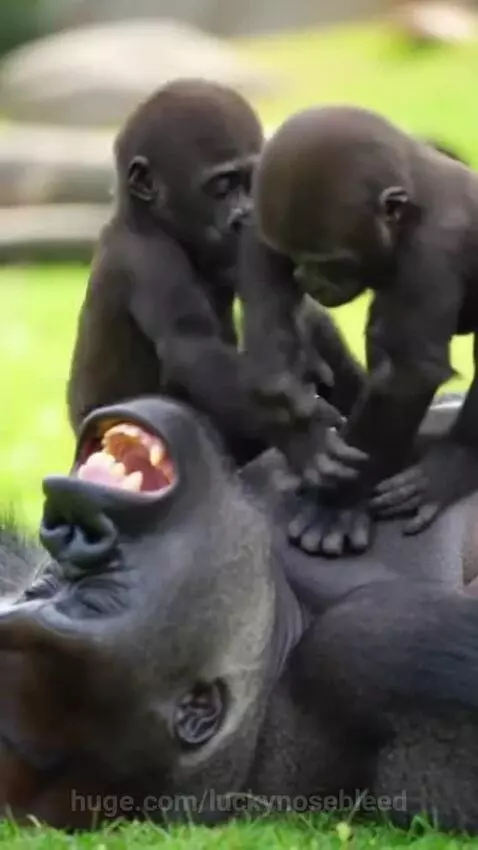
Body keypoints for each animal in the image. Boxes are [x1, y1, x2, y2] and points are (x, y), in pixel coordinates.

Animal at [66, 78, 362, 471]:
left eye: (252, 184)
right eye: (222, 186)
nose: (245, 214)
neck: (143, 217)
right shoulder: (149, 258)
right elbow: (193, 349)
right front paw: (301, 435)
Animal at [238, 104, 478, 556]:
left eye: (331, 264)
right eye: (295, 254)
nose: (305, 277)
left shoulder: (432, 251)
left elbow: (406, 377)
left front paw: (338, 505)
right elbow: (260, 241)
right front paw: (292, 420)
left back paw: (456, 461)